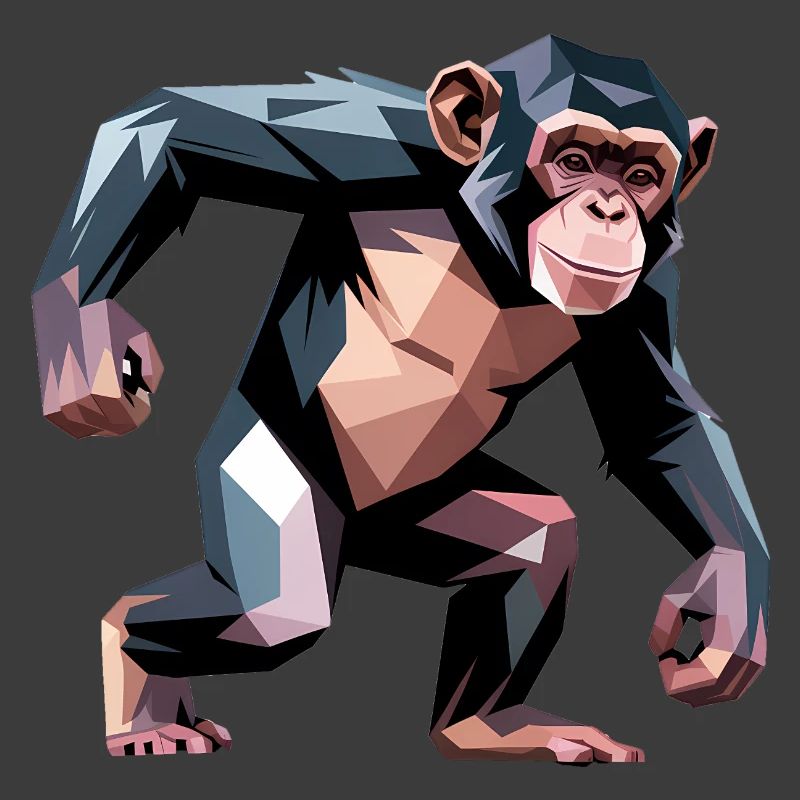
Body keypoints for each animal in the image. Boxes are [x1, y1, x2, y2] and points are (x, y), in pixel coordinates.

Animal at [31, 35, 769, 763]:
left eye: (642, 177)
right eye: (574, 161)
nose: (611, 210)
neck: (495, 253)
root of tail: (361, 532)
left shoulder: (649, 284)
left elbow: (657, 422)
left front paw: (726, 605)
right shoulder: (379, 142)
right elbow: (177, 130)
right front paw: (86, 340)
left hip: (425, 513)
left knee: (538, 542)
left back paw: (485, 726)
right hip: (273, 466)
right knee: (272, 615)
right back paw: (137, 680)